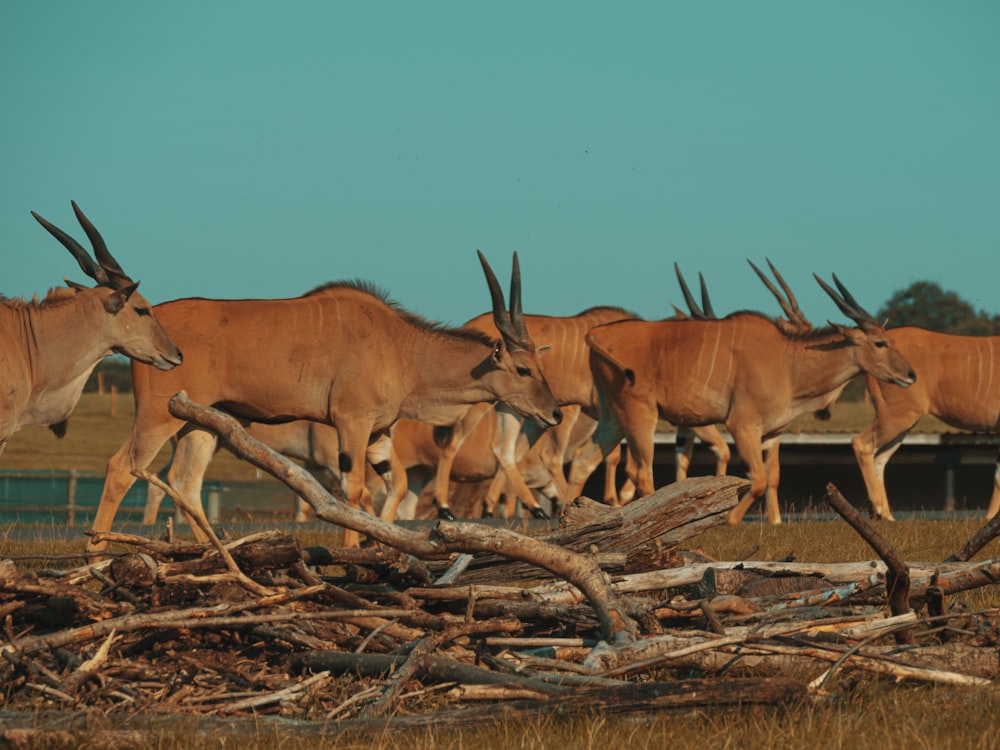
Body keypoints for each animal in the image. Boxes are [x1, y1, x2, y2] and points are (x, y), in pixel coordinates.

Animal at [92, 253, 564, 552]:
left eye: (541, 367)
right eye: (523, 370)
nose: (555, 413)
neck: (401, 345)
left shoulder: (378, 432)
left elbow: (396, 485)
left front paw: (385, 544)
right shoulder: (351, 423)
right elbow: (353, 490)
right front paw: (356, 548)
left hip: (200, 424)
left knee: (185, 483)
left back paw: (216, 554)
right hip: (157, 416)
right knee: (120, 468)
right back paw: (97, 555)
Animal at [588, 274, 916, 524]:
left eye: (892, 340)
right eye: (880, 343)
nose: (910, 375)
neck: (787, 361)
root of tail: (597, 335)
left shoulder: (769, 433)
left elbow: (769, 477)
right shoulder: (742, 426)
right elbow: (756, 480)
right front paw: (729, 519)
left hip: (614, 417)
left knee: (586, 459)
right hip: (640, 414)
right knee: (640, 472)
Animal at [852, 328, 1000, 524]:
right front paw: (989, 518)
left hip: (900, 421)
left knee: (880, 459)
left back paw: (887, 516)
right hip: (897, 416)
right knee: (861, 443)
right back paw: (878, 508)